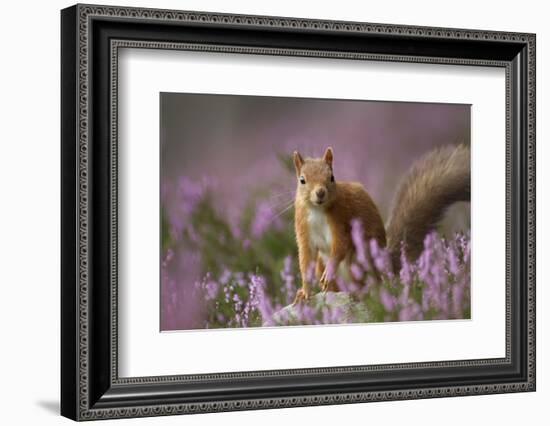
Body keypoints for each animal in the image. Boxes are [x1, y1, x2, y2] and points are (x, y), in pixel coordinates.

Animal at [296, 146, 472, 302]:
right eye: (302, 180)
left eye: (331, 177)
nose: (320, 192)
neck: (317, 210)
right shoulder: (303, 228)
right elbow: (306, 259)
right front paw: (305, 292)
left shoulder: (342, 219)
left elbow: (340, 245)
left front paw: (329, 271)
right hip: (322, 264)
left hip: (358, 260)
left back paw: (358, 293)